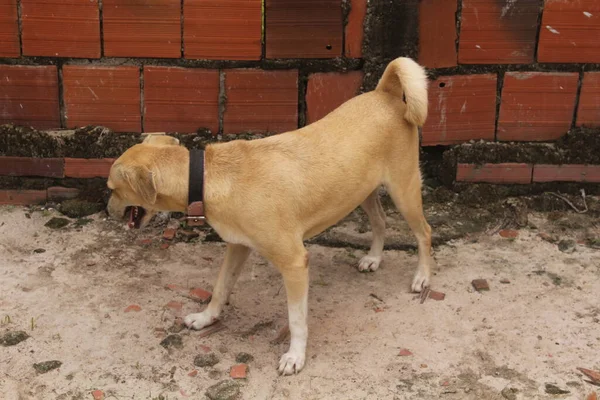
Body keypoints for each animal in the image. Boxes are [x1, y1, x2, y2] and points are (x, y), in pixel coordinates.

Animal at [108, 57, 434, 376]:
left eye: (112, 189)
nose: (108, 209)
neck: (208, 175)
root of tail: (386, 93)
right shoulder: (237, 247)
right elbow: (220, 287)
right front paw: (205, 318)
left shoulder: (294, 263)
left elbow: (296, 319)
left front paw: (295, 356)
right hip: (361, 192)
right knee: (380, 221)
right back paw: (374, 258)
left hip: (404, 191)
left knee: (424, 232)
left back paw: (422, 278)